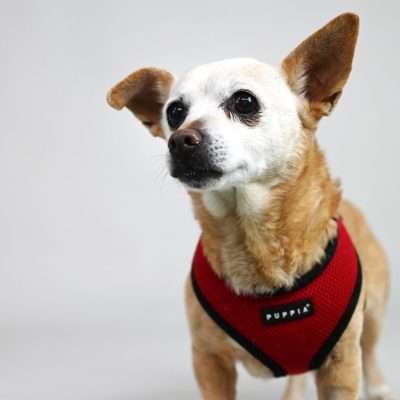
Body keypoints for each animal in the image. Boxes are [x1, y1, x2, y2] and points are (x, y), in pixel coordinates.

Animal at [107, 13, 394, 400]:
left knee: (371, 348)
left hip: (375, 311)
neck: (252, 237)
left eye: (244, 102)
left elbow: (353, 360)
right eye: (174, 112)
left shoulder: (341, 366)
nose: (179, 140)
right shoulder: (209, 362)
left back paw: (378, 386)